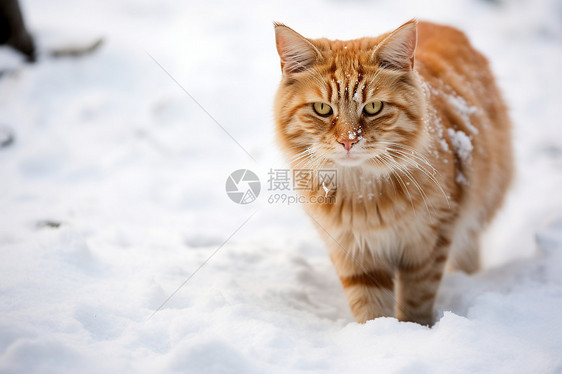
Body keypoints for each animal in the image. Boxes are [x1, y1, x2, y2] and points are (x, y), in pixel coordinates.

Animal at [272, 20, 512, 324]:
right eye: (322, 109)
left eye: (373, 107)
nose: (348, 141)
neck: (363, 198)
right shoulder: (354, 251)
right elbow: (370, 306)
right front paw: (378, 332)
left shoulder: (428, 243)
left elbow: (416, 299)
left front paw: (413, 329)